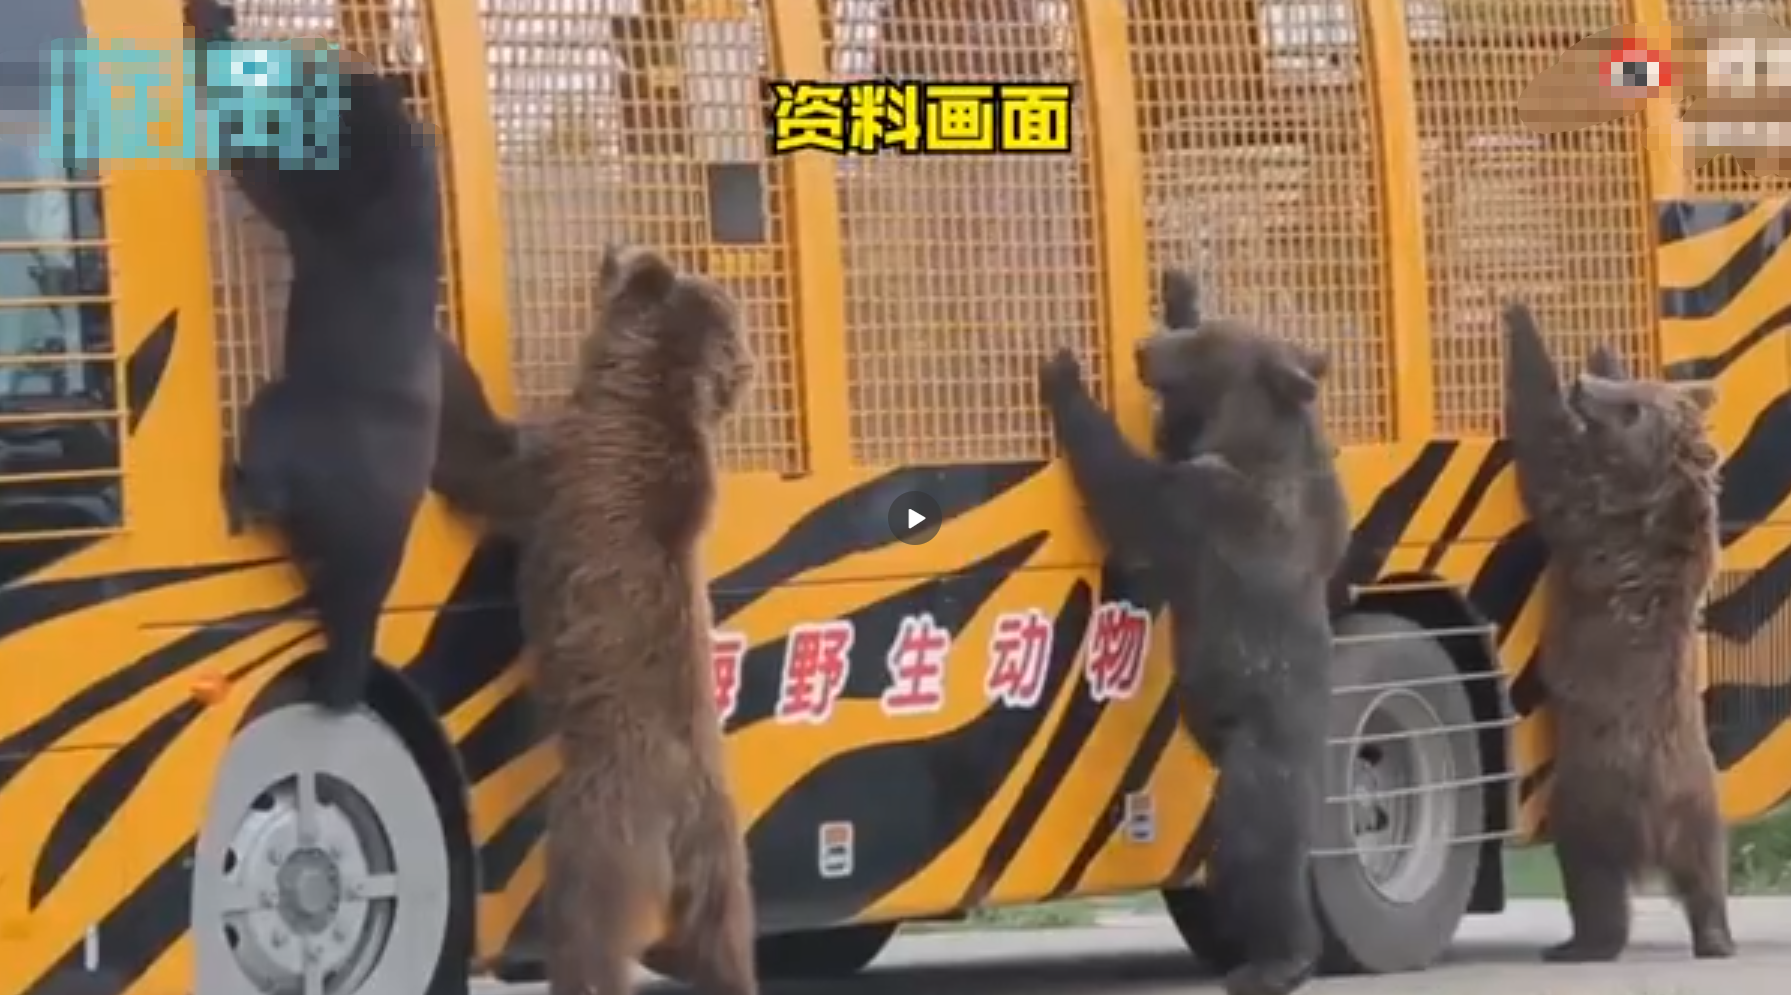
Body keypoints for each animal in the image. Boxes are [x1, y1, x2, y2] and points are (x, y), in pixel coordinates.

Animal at [187, 1, 445, 715]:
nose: (304, 65)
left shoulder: (301, 191)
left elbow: (250, 155)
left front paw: (211, 26)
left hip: (282, 409)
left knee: (269, 489)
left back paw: (235, 486)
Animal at [522, 243, 762, 995]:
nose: (609, 247)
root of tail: (682, 801)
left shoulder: (570, 470)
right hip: (720, 851)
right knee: (724, 933)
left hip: (603, 820)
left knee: (585, 923)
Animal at [1038, 286, 1346, 995]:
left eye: (1206, 345)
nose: (1143, 347)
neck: (1258, 443)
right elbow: (1168, 445)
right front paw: (1180, 284)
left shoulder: (1210, 508)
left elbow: (1131, 491)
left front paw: (1064, 372)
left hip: (1258, 765)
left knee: (1253, 857)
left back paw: (1274, 963)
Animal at [1497, 304, 1733, 966]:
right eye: (1636, 388)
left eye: (1631, 408)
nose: (1583, 383)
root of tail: (1659, 825)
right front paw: (1603, 346)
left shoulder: (1593, 521)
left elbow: (1547, 453)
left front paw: (1519, 316)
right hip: (1702, 799)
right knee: (1707, 871)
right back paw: (1716, 937)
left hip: (1593, 794)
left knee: (1591, 875)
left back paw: (1576, 944)